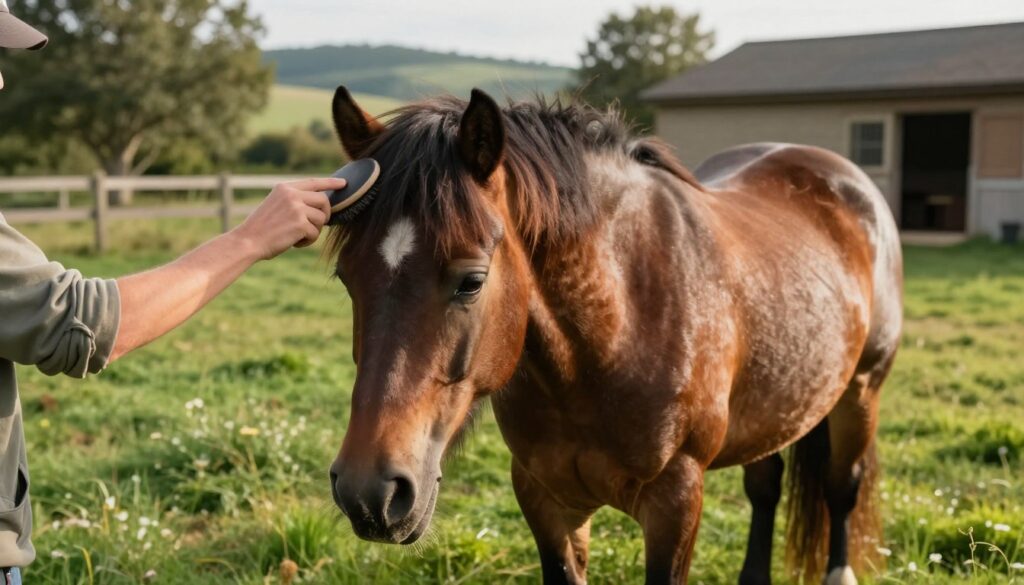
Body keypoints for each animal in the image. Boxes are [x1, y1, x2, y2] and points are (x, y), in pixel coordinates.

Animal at [323, 85, 902, 584]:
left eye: (472, 281)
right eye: (347, 279)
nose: (368, 492)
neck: (616, 331)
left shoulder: (675, 502)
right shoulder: (545, 499)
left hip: (861, 392)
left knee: (841, 488)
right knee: (765, 489)